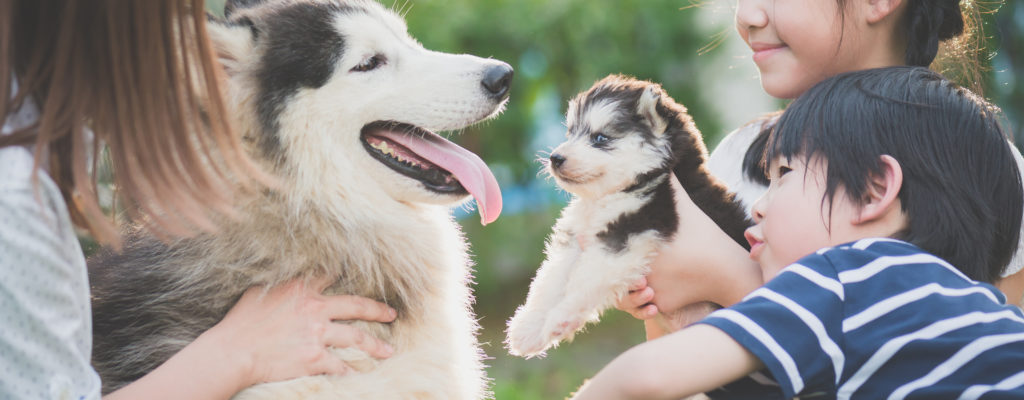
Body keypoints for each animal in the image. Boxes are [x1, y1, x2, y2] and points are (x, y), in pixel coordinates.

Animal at [501, 76, 745, 358]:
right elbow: (549, 281)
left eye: (599, 138)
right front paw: (529, 328)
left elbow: (584, 280)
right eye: (571, 133)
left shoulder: (629, 230)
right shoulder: (575, 239)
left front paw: (561, 318)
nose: (555, 158)